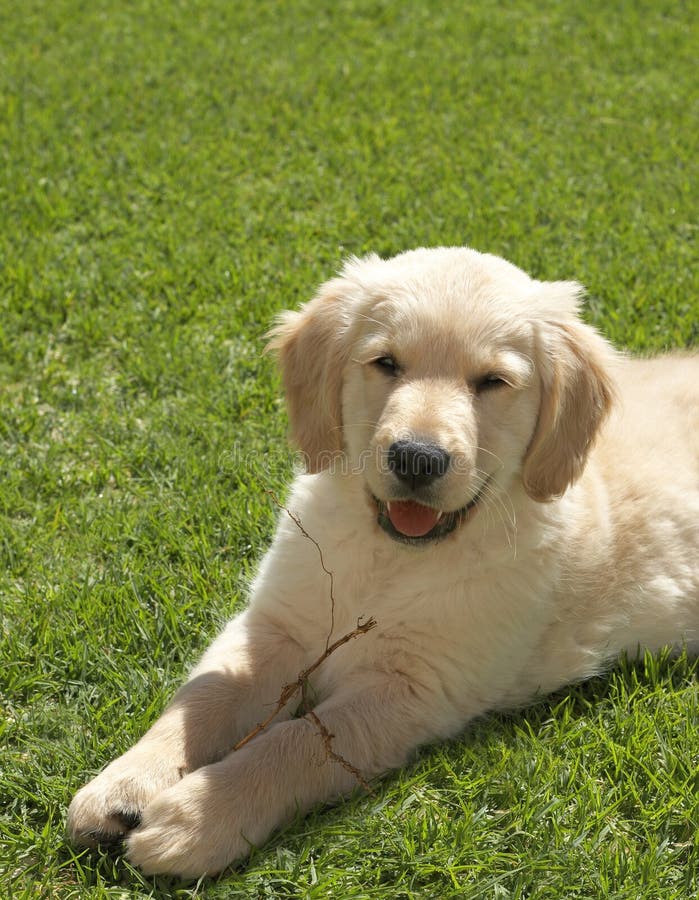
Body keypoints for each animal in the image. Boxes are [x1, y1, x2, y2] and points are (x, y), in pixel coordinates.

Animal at [68, 248, 699, 880]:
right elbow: (203, 699)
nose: (417, 458)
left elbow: (302, 740)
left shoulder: (416, 687)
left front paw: (197, 820)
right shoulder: (275, 624)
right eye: (386, 363)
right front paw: (126, 785)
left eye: (492, 382)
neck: (390, 557)